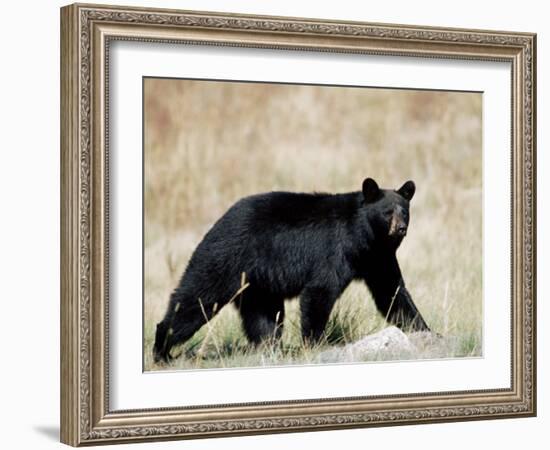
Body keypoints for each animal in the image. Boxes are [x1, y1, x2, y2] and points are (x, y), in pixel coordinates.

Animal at [154, 178, 432, 364]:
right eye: (387, 212)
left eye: (404, 211)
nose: (401, 229)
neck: (365, 238)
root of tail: (218, 221)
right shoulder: (335, 250)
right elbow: (320, 291)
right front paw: (315, 344)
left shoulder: (377, 258)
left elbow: (392, 293)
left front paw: (427, 332)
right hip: (224, 260)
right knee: (196, 300)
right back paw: (162, 351)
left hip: (259, 285)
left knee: (265, 318)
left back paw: (269, 348)